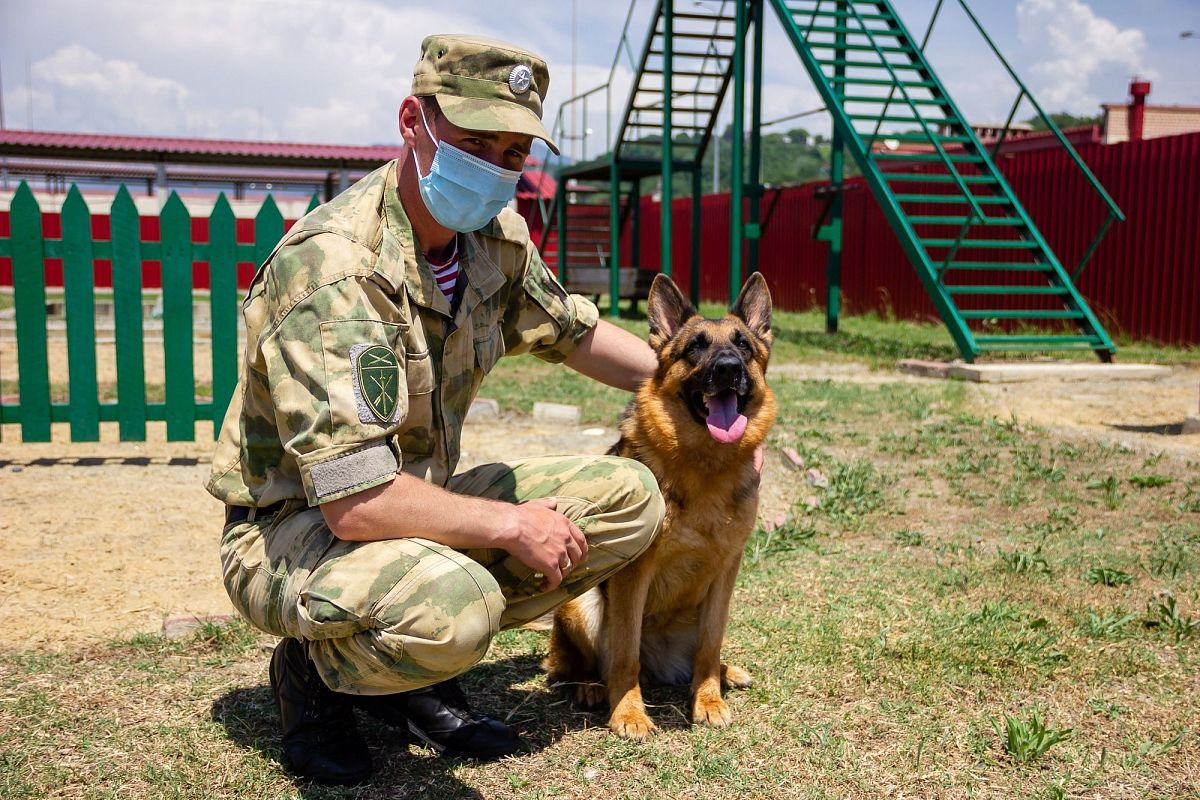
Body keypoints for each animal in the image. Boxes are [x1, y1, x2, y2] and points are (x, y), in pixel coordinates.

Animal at [547, 272, 777, 743]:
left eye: (743, 345)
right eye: (695, 348)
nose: (729, 368)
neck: (706, 463)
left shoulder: (727, 572)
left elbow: (709, 646)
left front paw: (708, 701)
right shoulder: (634, 575)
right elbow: (624, 656)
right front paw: (629, 712)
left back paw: (726, 671)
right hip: (580, 606)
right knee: (586, 663)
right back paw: (591, 687)